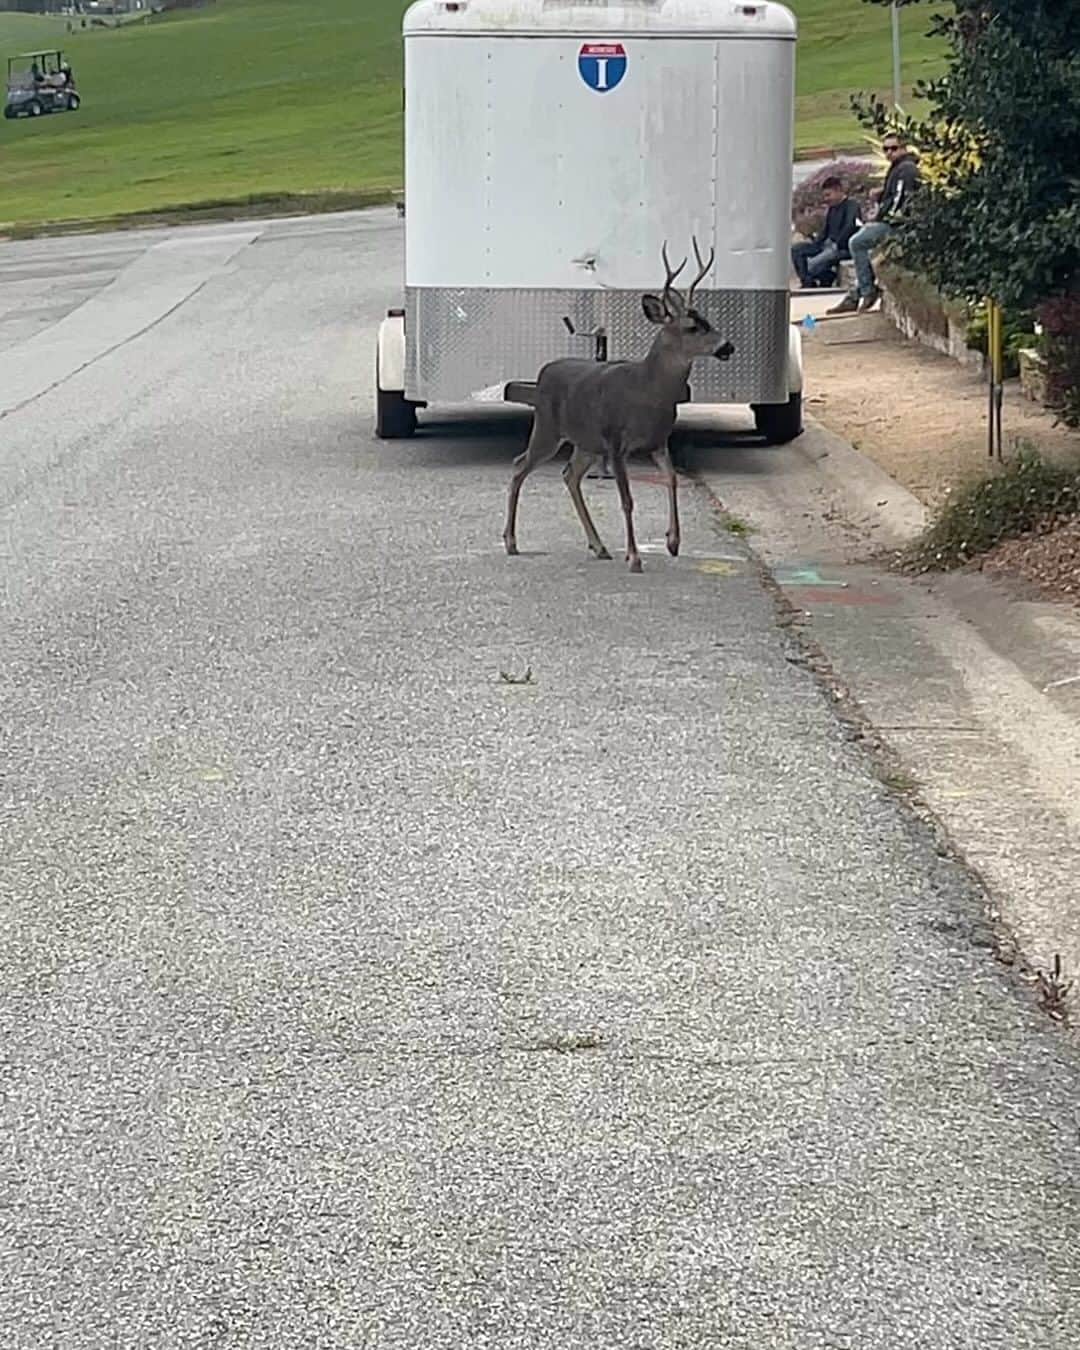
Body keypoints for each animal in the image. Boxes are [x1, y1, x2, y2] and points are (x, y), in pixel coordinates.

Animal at [502, 239, 734, 573]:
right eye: (692, 327)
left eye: (708, 320)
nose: (728, 346)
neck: (648, 391)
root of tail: (544, 371)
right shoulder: (615, 442)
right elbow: (627, 500)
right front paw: (635, 556)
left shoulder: (659, 441)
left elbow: (672, 479)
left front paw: (673, 542)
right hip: (547, 428)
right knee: (520, 465)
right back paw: (511, 542)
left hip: (585, 443)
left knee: (569, 475)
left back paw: (599, 546)